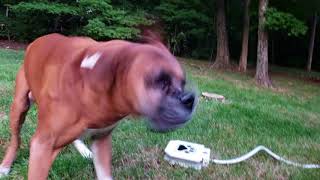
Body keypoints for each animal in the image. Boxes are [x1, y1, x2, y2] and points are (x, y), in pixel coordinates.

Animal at [0, 33, 196, 179]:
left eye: (183, 82)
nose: (190, 98)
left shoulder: (102, 140)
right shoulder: (42, 146)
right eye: (160, 81)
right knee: (16, 140)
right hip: (19, 106)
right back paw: (5, 166)